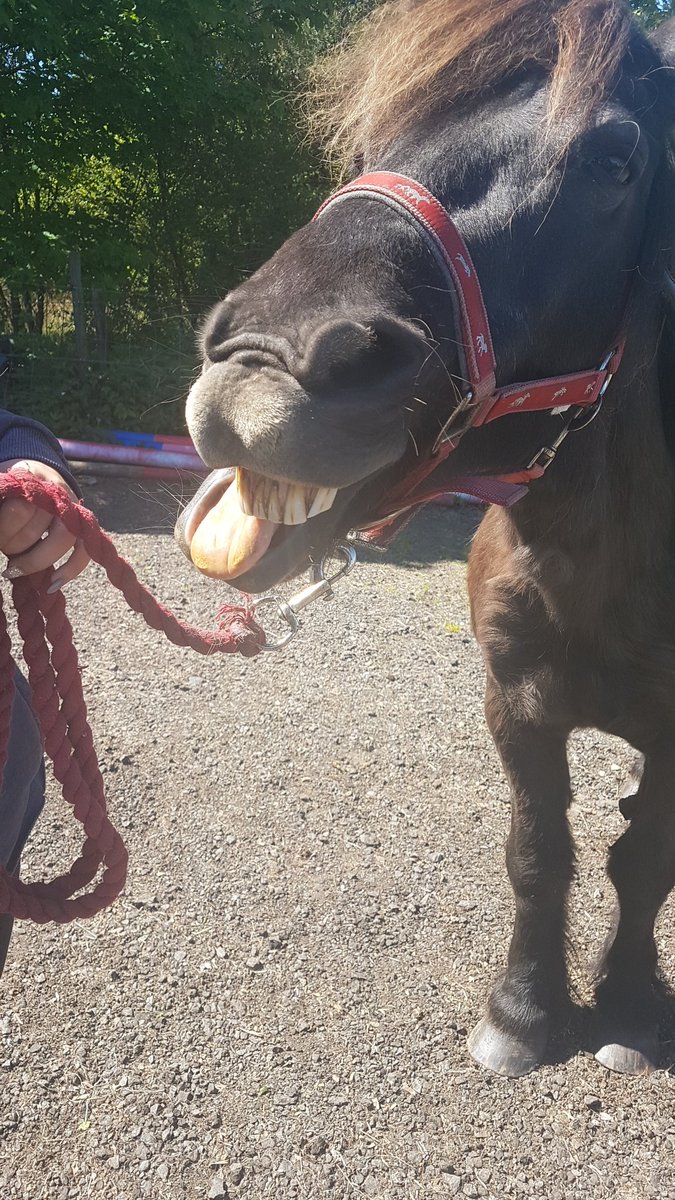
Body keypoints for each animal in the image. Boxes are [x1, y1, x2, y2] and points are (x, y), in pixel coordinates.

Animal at [176, 0, 675, 1077]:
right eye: (369, 148)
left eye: (617, 158)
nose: (255, 368)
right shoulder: (514, 703)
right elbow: (539, 855)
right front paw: (523, 1014)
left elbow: (645, 860)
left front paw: (627, 1009)